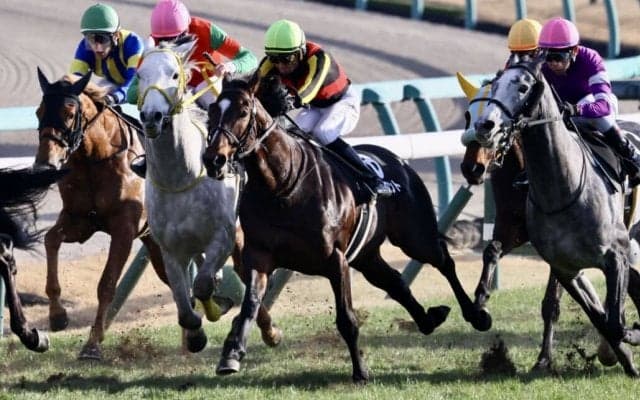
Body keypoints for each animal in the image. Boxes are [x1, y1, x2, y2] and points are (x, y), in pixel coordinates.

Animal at [34, 68, 170, 360]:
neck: (96, 158)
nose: (45, 164)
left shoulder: (124, 229)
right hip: (156, 245)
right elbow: (51, 240)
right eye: (39, 112)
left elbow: (107, 284)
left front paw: (92, 345)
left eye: (69, 113)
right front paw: (57, 316)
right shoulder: (78, 220)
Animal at [135, 37, 282, 353]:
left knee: (243, 271)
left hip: (240, 235)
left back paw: (269, 330)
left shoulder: (223, 237)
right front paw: (194, 334)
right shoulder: (171, 249)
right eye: (139, 76)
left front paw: (216, 308)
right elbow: (182, 299)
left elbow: (203, 284)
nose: (151, 117)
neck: (183, 175)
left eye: (174, 75)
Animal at [202, 72, 490, 384]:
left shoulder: (335, 260)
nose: (213, 159)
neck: (283, 184)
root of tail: (398, 161)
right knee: (395, 281)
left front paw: (360, 371)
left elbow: (346, 319)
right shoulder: (259, 256)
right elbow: (250, 305)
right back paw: (429, 319)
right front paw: (231, 354)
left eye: (243, 111)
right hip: (367, 255)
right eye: (213, 110)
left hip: (415, 236)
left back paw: (477, 315)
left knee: (443, 261)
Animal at [472, 53, 640, 376]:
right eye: (494, 84)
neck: (564, 186)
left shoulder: (617, 255)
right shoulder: (565, 267)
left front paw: (631, 338)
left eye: (523, 87)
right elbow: (601, 318)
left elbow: (614, 320)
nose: (486, 125)